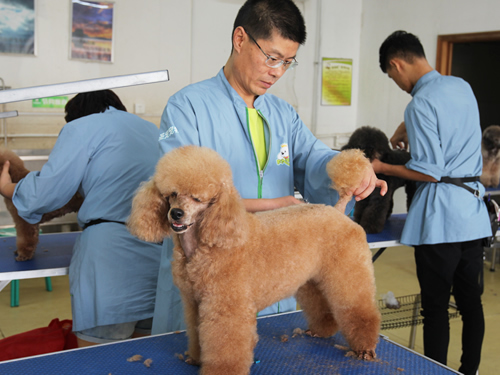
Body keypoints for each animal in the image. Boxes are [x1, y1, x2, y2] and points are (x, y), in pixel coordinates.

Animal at [128, 146, 378, 375]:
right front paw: (196, 358)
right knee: (321, 305)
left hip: (347, 273)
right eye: (171, 194)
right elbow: (197, 331)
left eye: (198, 198)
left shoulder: (226, 306)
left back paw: (364, 348)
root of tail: (337, 210)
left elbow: (225, 346)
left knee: (359, 310)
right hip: (312, 280)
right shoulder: (194, 302)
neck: (207, 243)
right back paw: (321, 330)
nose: (176, 214)